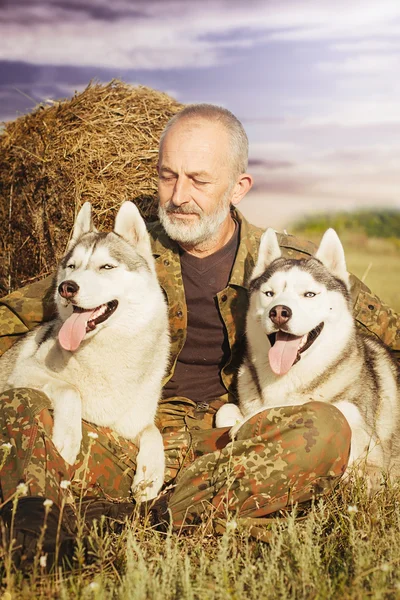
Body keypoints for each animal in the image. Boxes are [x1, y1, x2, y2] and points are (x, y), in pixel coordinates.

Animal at [0, 202, 170, 502]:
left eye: (106, 266)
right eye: (72, 266)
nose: (66, 288)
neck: (107, 352)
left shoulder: (130, 425)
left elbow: (153, 432)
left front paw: (150, 476)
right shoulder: (24, 371)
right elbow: (71, 391)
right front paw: (68, 440)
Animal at [217, 227, 400, 480]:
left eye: (310, 294)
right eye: (269, 293)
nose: (279, 312)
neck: (286, 376)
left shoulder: (370, 451)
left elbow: (317, 405)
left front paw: (247, 422)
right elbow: (223, 411)